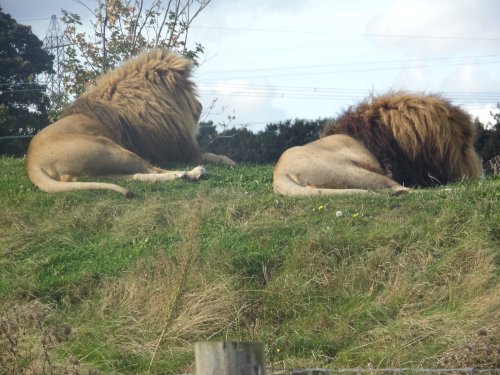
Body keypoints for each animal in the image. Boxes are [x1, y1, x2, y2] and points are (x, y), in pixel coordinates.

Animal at [28, 48, 235, 198]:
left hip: (101, 166)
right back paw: (190, 173)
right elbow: (210, 155)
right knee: (152, 168)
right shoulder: (173, 149)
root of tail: (32, 164)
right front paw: (228, 161)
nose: (200, 107)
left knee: (137, 175)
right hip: (108, 148)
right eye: (189, 91)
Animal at [274, 92, 484, 197]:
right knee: (400, 190)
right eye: (467, 146)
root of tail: (279, 175)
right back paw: (452, 190)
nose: (479, 171)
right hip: (356, 172)